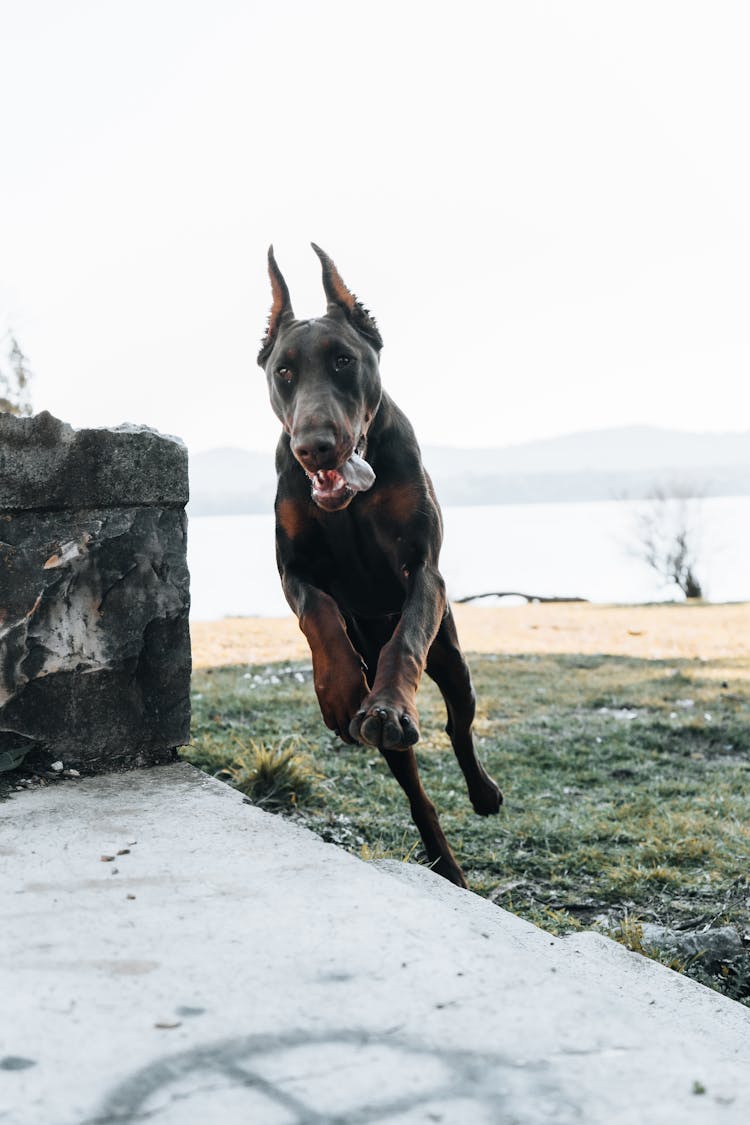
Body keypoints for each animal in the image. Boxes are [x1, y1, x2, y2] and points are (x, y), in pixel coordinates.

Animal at [260, 246, 501, 886]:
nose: (314, 446)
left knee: (458, 725)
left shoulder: (423, 571)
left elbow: (407, 638)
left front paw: (389, 702)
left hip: (454, 660)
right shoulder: (293, 569)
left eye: (344, 361)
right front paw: (341, 690)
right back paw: (443, 861)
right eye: (283, 372)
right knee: (415, 790)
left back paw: (481, 792)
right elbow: (319, 614)